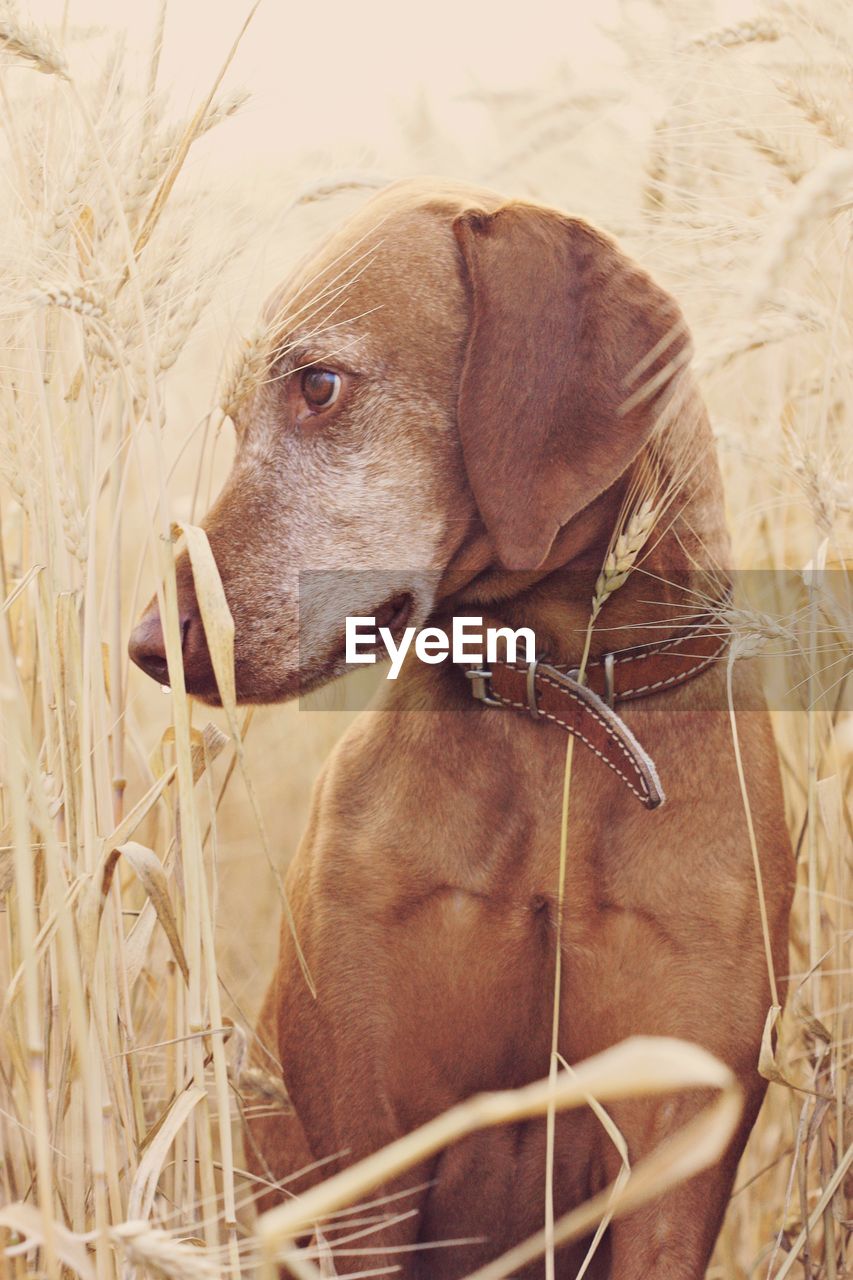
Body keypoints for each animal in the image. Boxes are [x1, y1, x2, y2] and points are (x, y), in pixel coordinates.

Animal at [129, 183, 788, 1280]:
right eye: (233, 416)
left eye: (319, 385)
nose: (151, 644)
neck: (552, 711)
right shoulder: (369, 1152)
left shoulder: (677, 1155)